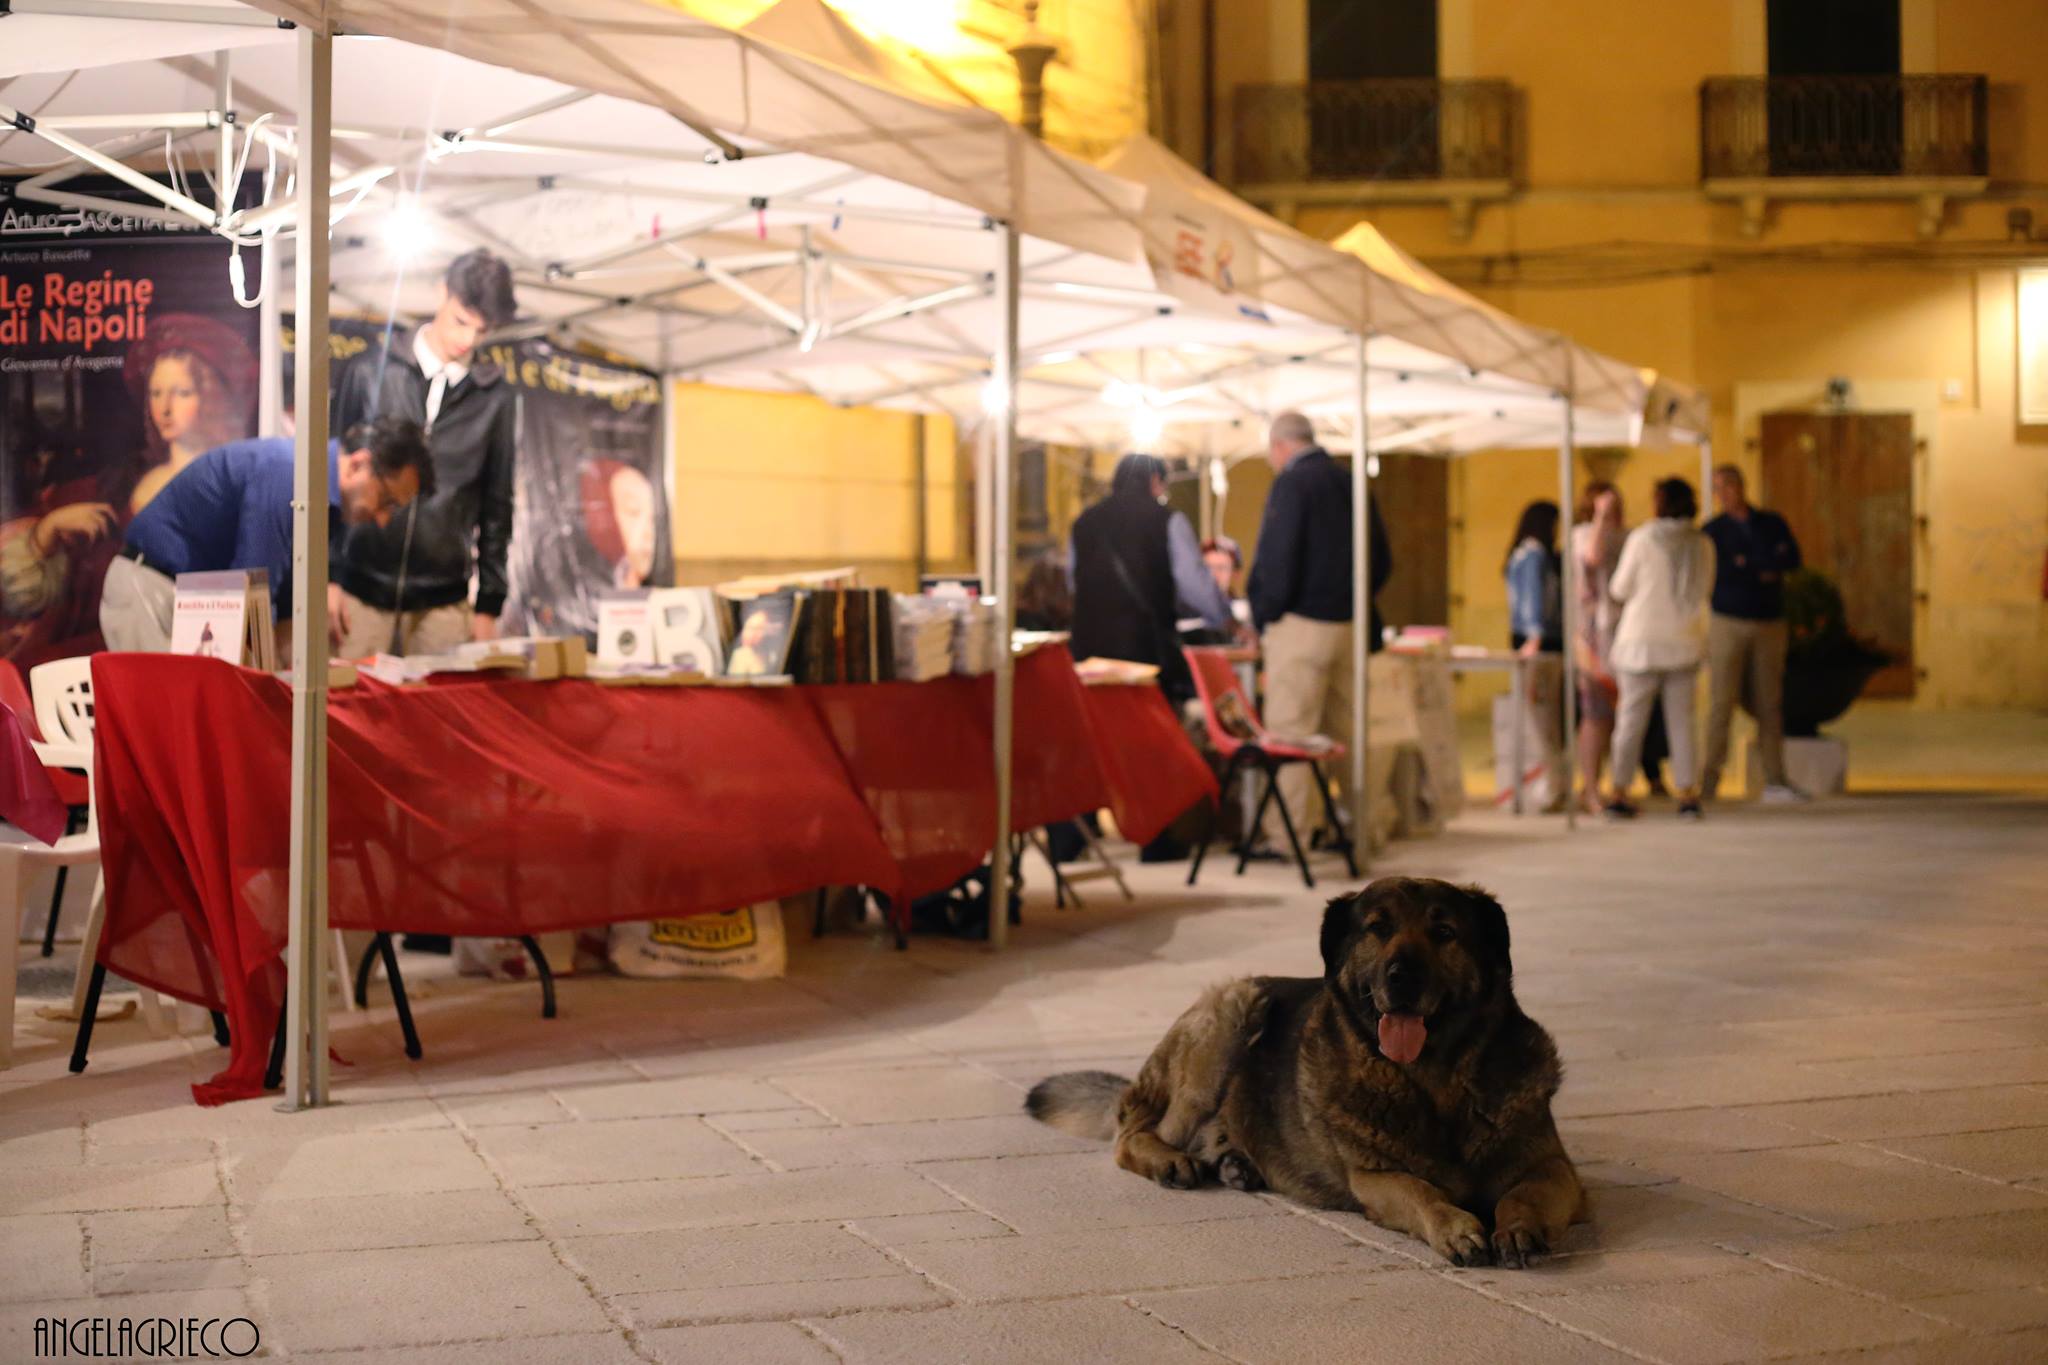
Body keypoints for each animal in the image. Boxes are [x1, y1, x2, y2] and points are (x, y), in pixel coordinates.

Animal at [1026, 877, 1585, 1267]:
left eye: (1444, 933)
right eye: (1377, 929)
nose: (1401, 976)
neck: (1436, 1082)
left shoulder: (1554, 1168)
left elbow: (1524, 1192)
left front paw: (1518, 1226)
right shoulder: (1375, 1179)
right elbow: (1422, 1192)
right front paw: (1456, 1226)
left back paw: (1235, 1162)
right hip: (1231, 1009)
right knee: (1132, 1135)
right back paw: (1170, 1161)